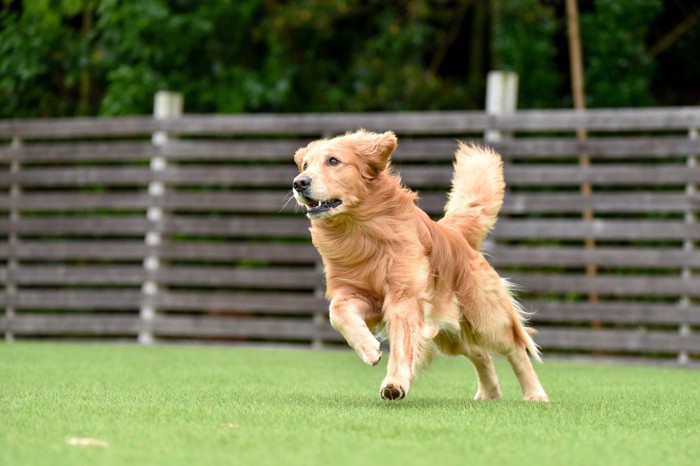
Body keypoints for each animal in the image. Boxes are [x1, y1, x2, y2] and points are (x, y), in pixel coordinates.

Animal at [292, 128, 548, 400]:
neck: (358, 230)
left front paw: (394, 382)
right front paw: (370, 349)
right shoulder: (359, 293)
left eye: (333, 161)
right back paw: (489, 393)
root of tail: (455, 233)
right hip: (449, 331)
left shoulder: (403, 296)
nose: (299, 182)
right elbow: (337, 312)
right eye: (305, 165)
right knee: (479, 353)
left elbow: (402, 342)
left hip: (484, 317)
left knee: (514, 347)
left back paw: (535, 394)